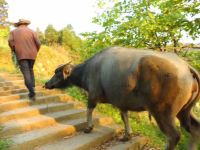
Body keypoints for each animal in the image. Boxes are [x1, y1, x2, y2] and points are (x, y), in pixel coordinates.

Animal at [44, 47, 199, 150]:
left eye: (57, 72)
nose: (46, 83)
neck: (87, 70)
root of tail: (186, 67)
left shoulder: (93, 95)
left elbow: (89, 110)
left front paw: (88, 127)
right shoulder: (121, 102)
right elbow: (124, 117)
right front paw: (127, 136)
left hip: (162, 112)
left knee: (174, 136)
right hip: (184, 111)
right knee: (194, 128)